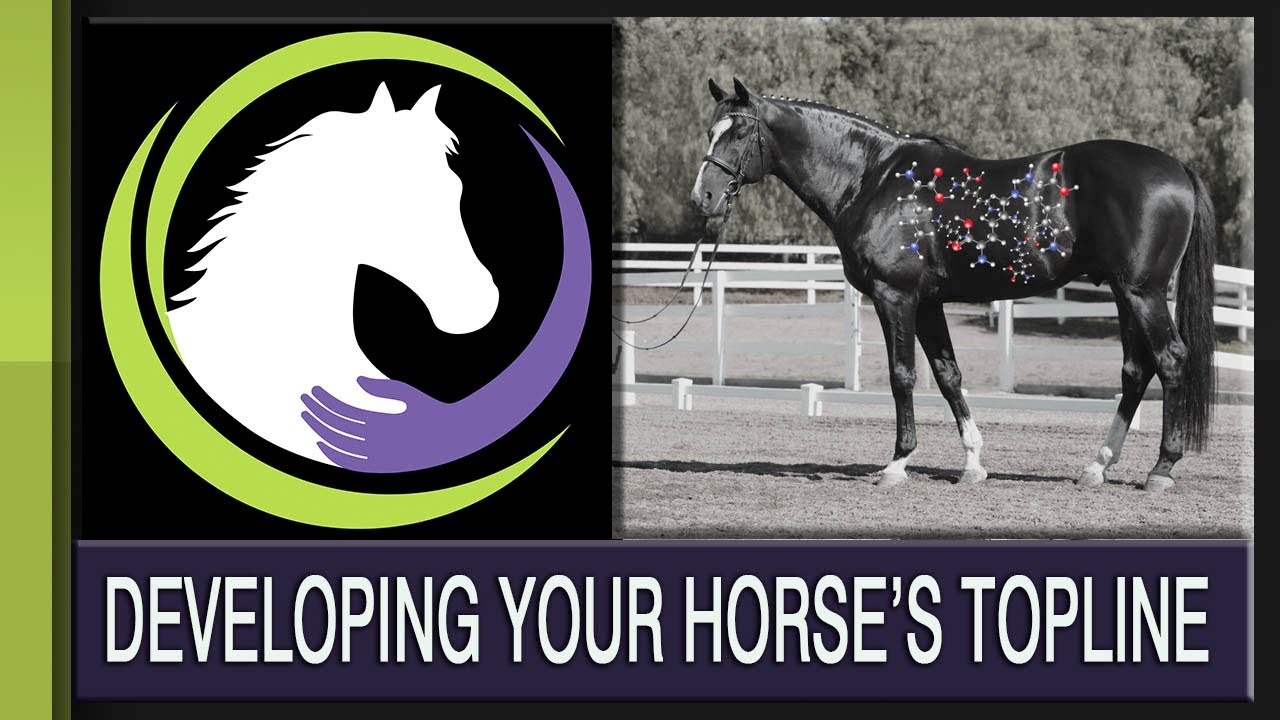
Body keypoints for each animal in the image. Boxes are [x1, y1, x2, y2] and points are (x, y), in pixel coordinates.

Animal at [691, 78, 1217, 492]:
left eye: (740, 131)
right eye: (711, 130)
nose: (704, 198)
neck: (872, 178)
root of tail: (1178, 169)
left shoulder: (895, 297)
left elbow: (902, 376)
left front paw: (898, 464)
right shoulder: (928, 304)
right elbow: (948, 377)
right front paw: (973, 465)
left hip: (1143, 293)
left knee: (1170, 360)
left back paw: (1161, 469)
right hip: (1126, 294)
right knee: (1136, 371)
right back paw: (1096, 467)